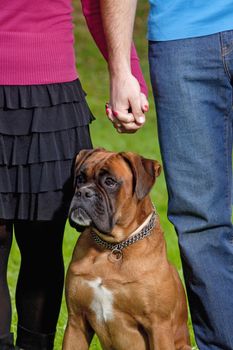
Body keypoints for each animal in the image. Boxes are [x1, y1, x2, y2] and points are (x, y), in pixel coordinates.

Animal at [62, 148, 191, 350]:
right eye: (81, 178)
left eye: (110, 182)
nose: (83, 192)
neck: (113, 247)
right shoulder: (76, 321)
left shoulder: (158, 326)